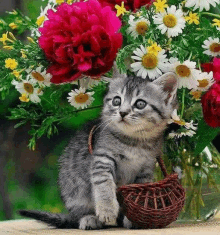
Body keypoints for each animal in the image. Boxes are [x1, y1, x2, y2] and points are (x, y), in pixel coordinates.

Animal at [18, 68, 178, 229]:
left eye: (140, 103)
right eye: (116, 101)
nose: (122, 112)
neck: (133, 141)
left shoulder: (146, 169)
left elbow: (139, 195)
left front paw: (135, 219)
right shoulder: (102, 158)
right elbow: (104, 184)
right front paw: (107, 210)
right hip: (74, 191)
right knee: (78, 214)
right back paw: (90, 219)